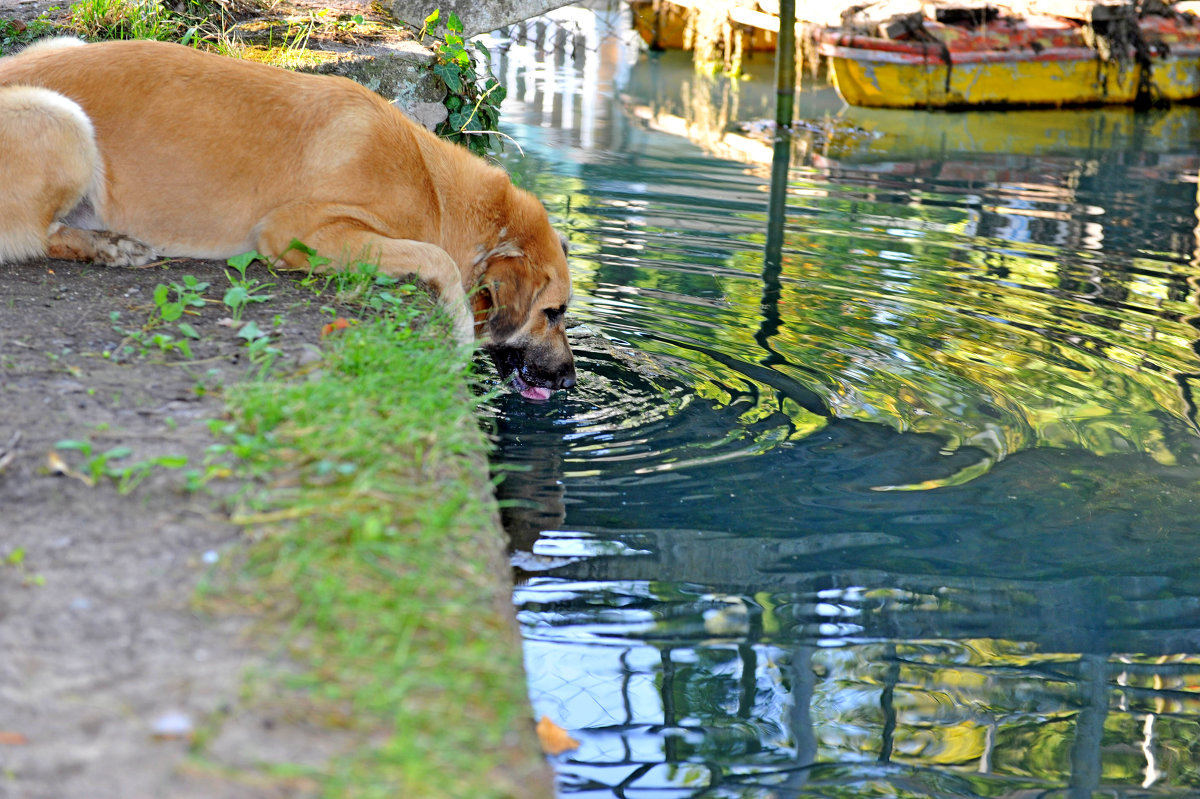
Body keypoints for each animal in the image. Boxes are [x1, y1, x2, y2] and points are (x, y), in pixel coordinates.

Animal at [0, 38, 576, 398]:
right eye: (553, 313)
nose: (571, 382)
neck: (435, 190)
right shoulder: (302, 230)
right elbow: (435, 257)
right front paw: (456, 331)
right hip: (62, 118)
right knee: (36, 237)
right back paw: (109, 245)